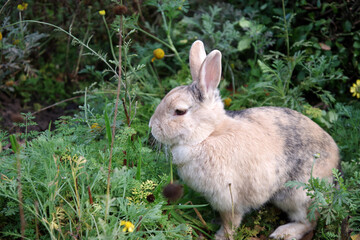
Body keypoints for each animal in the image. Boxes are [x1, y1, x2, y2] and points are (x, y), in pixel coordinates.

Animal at [149, 40, 340, 239]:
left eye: (180, 111)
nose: (152, 127)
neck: (209, 136)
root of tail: (335, 160)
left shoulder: (228, 198)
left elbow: (231, 221)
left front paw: (221, 236)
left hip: (298, 195)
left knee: (309, 221)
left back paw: (284, 233)